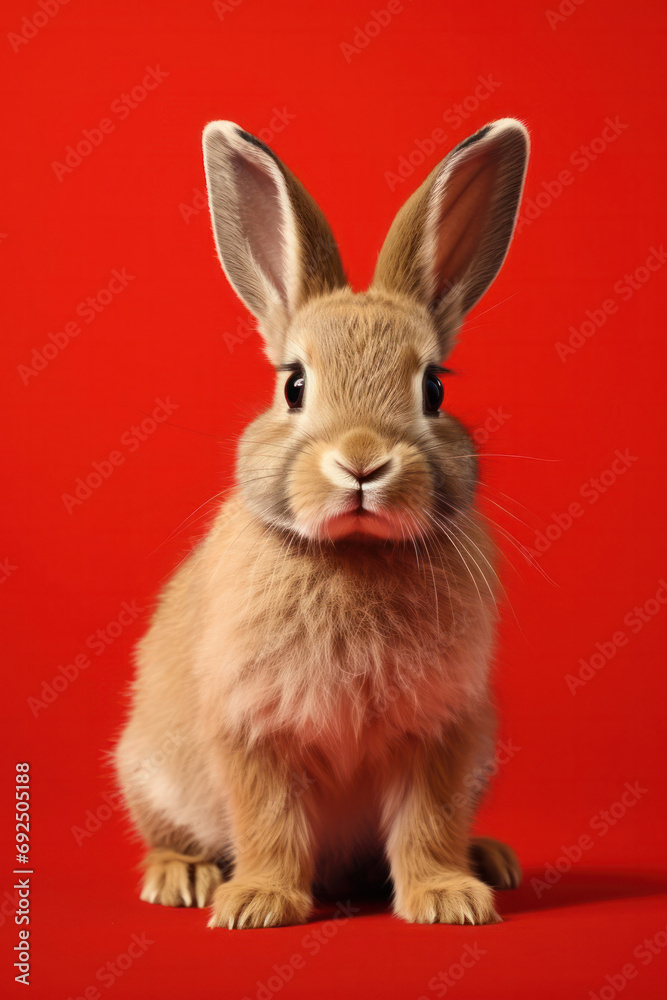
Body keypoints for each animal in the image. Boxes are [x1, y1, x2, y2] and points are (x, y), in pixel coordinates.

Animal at [114, 116, 529, 929]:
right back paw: (180, 878)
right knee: (166, 834)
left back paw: (490, 861)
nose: (362, 463)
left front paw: (446, 899)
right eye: (294, 385)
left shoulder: (443, 731)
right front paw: (257, 904)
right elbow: (268, 819)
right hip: (149, 773)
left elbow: (428, 821)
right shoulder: (251, 728)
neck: (353, 555)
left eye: (434, 388)